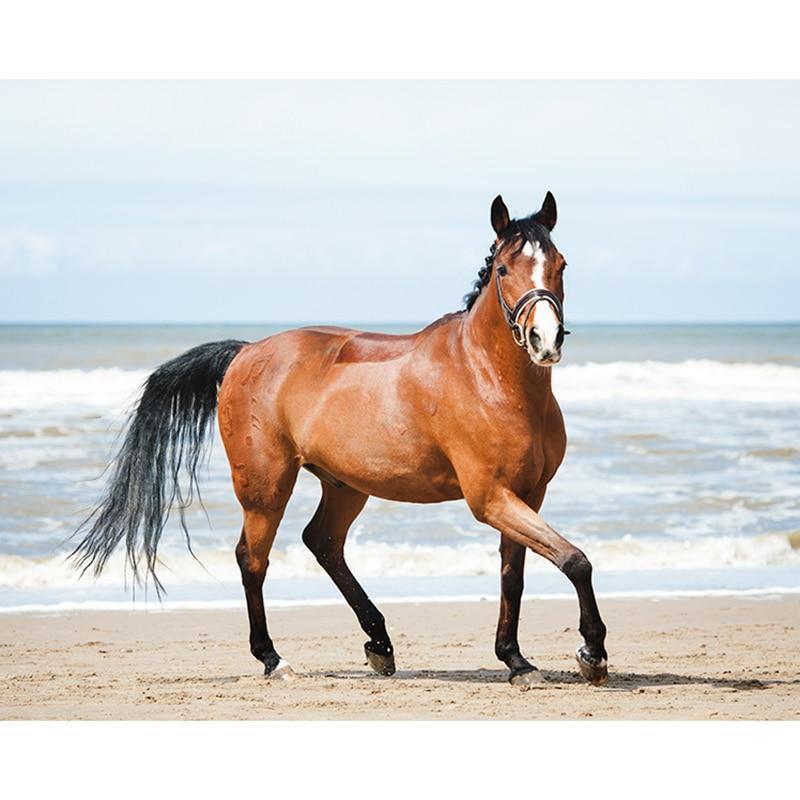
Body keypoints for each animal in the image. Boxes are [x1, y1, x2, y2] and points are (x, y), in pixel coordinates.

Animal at [71, 191, 608, 687]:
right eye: (502, 268)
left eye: (560, 264)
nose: (545, 340)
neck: (488, 378)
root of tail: (245, 353)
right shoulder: (489, 497)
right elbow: (575, 560)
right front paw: (591, 654)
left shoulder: (527, 493)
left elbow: (516, 575)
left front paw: (517, 661)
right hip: (266, 487)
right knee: (253, 559)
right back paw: (275, 659)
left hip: (345, 484)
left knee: (323, 542)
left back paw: (380, 645)